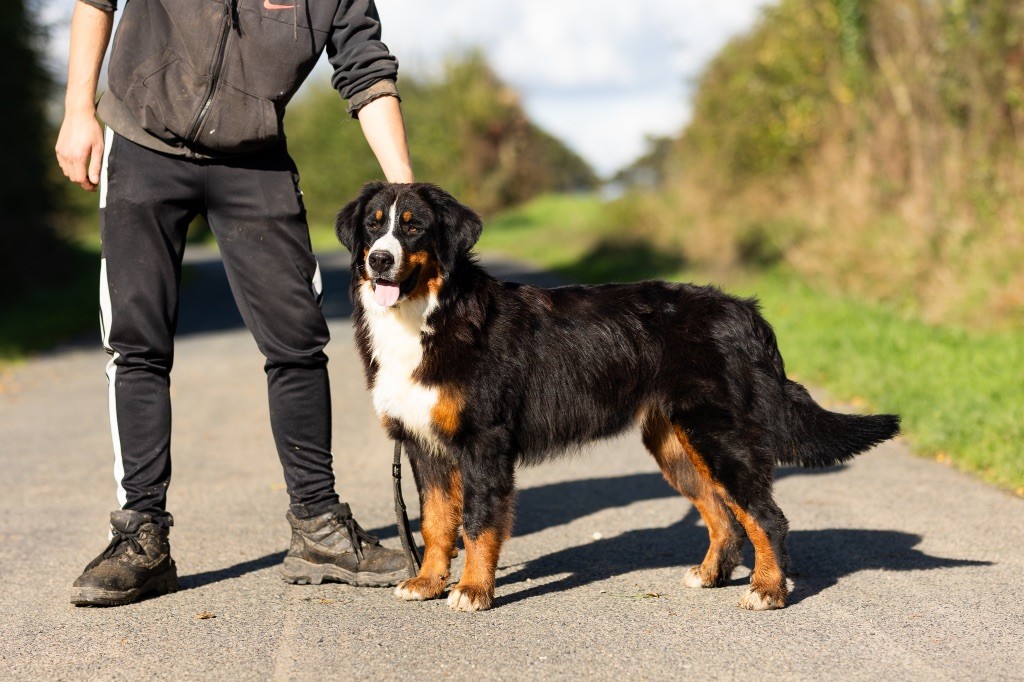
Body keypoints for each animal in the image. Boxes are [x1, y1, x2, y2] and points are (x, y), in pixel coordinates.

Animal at [335, 180, 897, 610]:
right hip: (678, 445)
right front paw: (428, 582)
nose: (380, 259)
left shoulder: (483, 443)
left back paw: (768, 590)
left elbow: (477, 523)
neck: (428, 316)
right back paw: (710, 574)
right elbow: (435, 522)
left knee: (766, 517)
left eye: (413, 226)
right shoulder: (423, 445)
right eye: (374, 225)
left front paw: (473, 591)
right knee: (725, 516)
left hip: (720, 436)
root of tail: (747, 312)